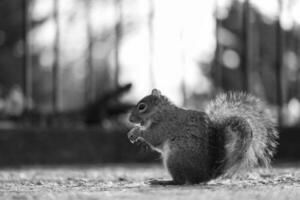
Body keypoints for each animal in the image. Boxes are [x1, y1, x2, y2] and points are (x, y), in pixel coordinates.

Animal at [127, 88, 278, 184]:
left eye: (142, 106)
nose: (129, 119)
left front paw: (136, 131)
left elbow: (154, 136)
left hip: (175, 158)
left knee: (181, 181)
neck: (161, 112)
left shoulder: (167, 125)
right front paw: (132, 133)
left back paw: (163, 181)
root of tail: (207, 175)